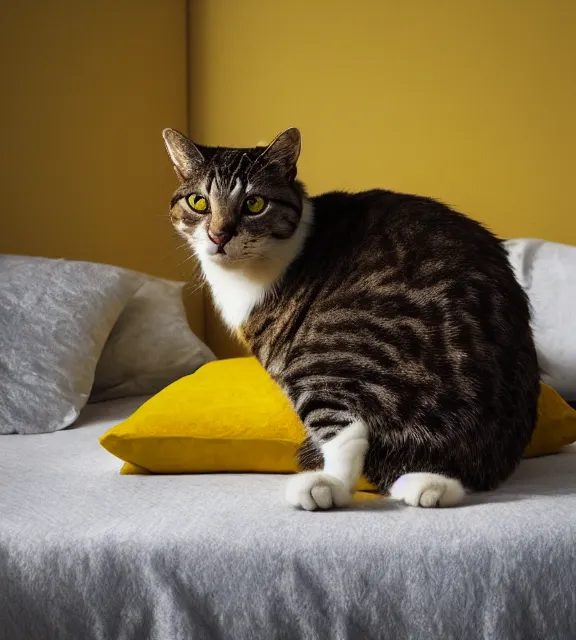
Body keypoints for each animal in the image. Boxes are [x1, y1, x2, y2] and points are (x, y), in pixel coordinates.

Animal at [161, 127, 540, 510]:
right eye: (198, 202)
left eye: (254, 203)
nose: (218, 235)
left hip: (328, 348)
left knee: (348, 433)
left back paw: (325, 486)